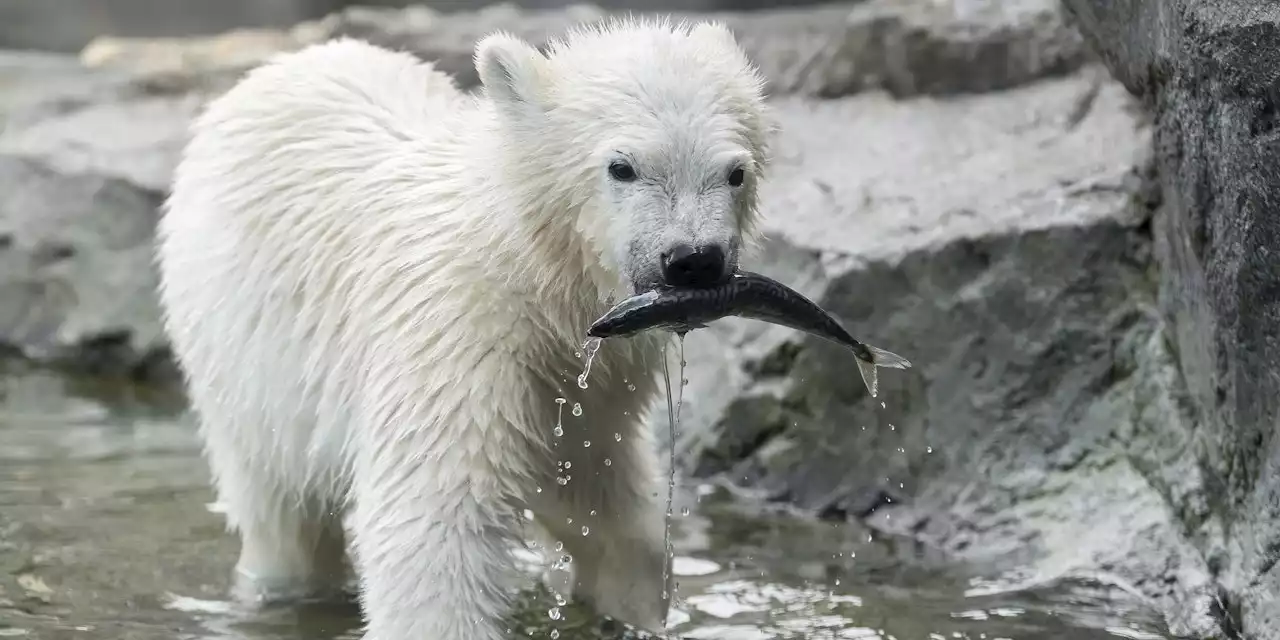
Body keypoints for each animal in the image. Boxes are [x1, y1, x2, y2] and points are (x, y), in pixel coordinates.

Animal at [151, 16, 768, 640]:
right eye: (623, 166)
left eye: (735, 172)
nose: (694, 260)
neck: (527, 268)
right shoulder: (454, 336)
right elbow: (435, 526)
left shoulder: (592, 384)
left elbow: (611, 515)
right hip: (242, 352)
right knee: (280, 514)